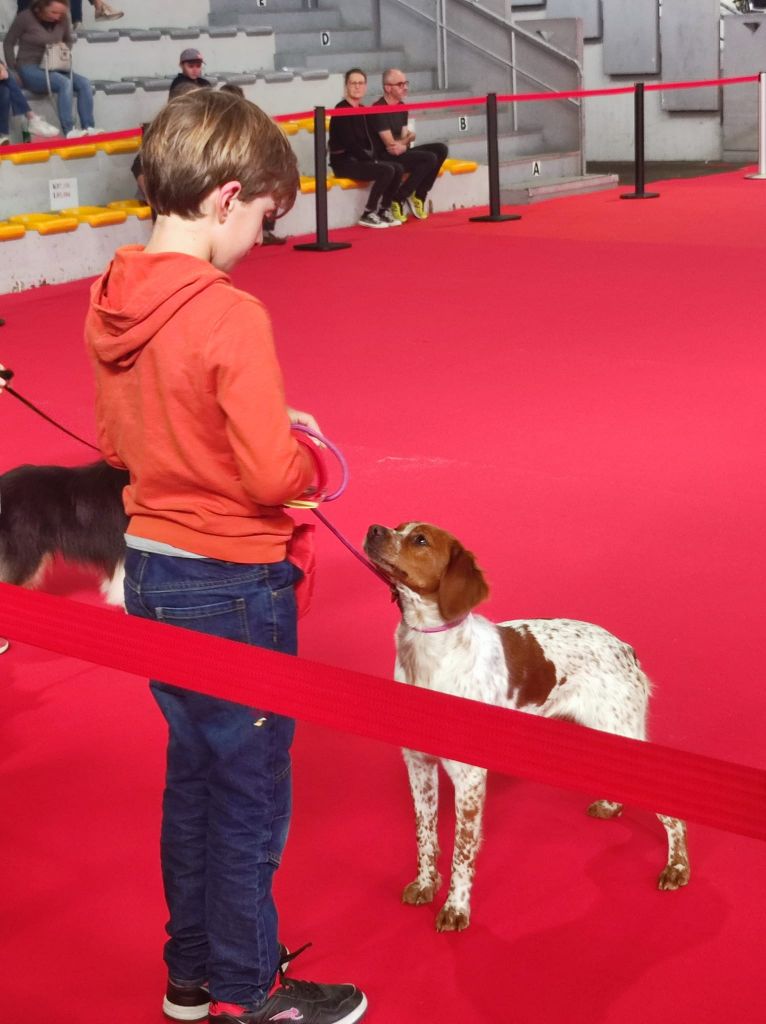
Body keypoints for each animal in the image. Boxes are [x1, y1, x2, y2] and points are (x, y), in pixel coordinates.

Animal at [362, 524, 692, 933]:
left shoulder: (470, 778)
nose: (373, 529)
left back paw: (677, 867)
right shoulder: (419, 765)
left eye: (419, 540)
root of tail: (626, 648)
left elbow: (462, 851)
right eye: (397, 526)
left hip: (622, 731)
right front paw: (425, 884)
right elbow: (425, 835)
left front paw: (456, 908)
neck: (428, 655)